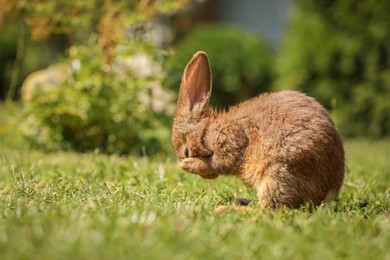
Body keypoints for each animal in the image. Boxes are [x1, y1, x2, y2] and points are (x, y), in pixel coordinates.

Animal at [171, 50, 344, 209]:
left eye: (186, 151)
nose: (208, 178)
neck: (205, 130)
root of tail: (328, 193)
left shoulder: (229, 144)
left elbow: (217, 162)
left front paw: (187, 165)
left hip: (276, 173)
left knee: (267, 209)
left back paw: (225, 209)